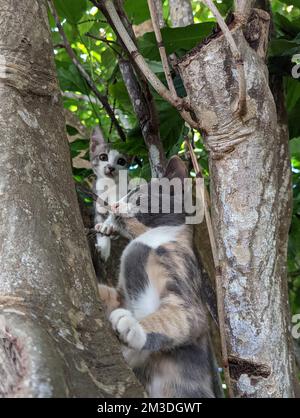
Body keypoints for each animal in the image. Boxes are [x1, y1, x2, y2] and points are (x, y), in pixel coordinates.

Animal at [89, 125, 131, 262]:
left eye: (121, 161)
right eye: (103, 157)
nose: (111, 167)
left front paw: (108, 225)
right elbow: (99, 219)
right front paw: (103, 248)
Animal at [98, 157, 218, 398]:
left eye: (136, 195)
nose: (113, 206)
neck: (149, 239)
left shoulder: (183, 284)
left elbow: (174, 318)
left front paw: (134, 326)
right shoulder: (121, 296)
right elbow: (108, 295)